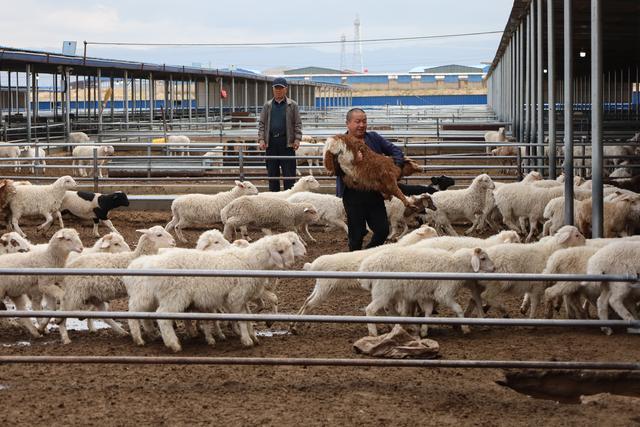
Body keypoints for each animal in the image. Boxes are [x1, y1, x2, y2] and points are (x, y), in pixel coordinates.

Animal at [127, 234, 302, 352]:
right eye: (280, 251)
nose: (291, 264)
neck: (249, 262)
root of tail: (153, 263)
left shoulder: (242, 297)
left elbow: (248, 317)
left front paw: (253, 336)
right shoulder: (236, 297)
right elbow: (242, 320)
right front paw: (247, 340)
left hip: (155, 296)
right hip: (174, 295)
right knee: (161, 316)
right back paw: (172, 343)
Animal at [360, 247, 496, 338]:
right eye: (483, 258)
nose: (494, 268)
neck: (455, 265)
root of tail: (367, 266)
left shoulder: (429, 294)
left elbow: (429, 311)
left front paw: (424, 330)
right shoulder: (443, 293)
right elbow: (458, 308)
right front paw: (465, 328)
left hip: (387, 293)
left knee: (386, 309)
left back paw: (399, 325)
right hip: (383, 291)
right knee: (370, 310)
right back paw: (373, 333)